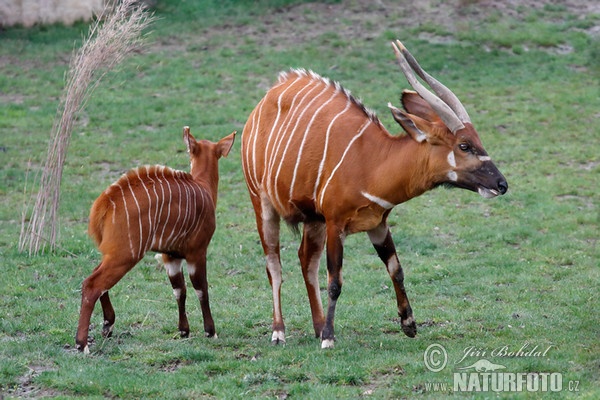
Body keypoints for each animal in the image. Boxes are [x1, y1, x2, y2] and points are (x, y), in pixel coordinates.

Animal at [75, 126, 234, 352]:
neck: (203, 186)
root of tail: (103, 204)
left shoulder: (171, 257)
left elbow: (179, 290)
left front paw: (183, 331)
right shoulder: (197, 252)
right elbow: (201, 289)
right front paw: (210, 331)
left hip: (113, 254)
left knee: (95, 279)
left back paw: (108, 325)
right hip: (125, 255)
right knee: (92, 284)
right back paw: (82, 343)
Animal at [241, 39, 508, 348]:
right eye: (464, 145)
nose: (501, 184)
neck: (372, 162)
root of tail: (265, 99)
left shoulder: (377, 223)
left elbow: (396, 268)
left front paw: (409, 324)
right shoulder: (335, 223)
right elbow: (335, 281)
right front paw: (329, 339)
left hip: (313, 220)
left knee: (306, 260)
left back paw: (317, 326)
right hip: (262, 203)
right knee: (274, 264)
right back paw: (279, 331)